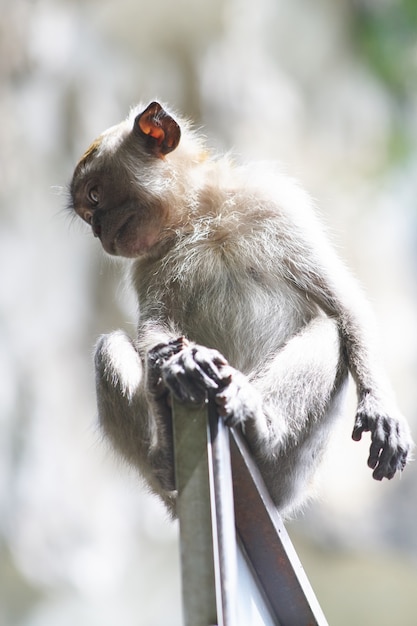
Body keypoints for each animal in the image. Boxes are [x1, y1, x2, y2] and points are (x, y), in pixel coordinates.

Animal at [68, 98, 412, 516]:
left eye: (95, 196)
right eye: (88, 213)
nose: (97, 230)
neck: (198, 216)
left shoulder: (274, 204)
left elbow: (344, 304)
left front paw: (381, 408)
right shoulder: (147, 265)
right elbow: (157, 329)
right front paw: (179, 361)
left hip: (293, 470)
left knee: (331, 331)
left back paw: (259, 428)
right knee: (109, 348)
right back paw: (166, 452)